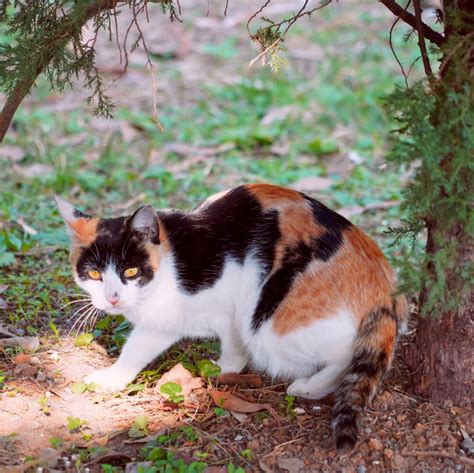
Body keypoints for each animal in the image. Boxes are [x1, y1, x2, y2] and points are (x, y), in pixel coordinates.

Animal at [57, 183, 410, 452]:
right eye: (94, 274)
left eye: (130, 271)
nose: (112, 297)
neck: (170, 262)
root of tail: (384, 289)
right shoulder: (166, 321)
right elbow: (139, 348)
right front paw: (113, 378)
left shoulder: (227, 307)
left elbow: (229, 345)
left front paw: (223, 369)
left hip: (271, 324)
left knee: (345, 354)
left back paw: (308, 388)